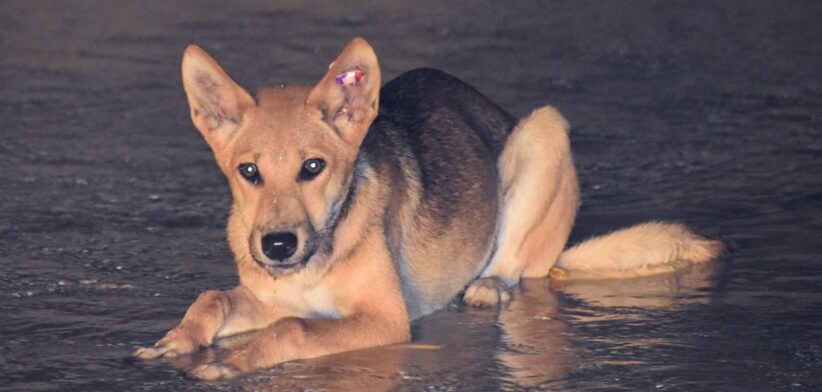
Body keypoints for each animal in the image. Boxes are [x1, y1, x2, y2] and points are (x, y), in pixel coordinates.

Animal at [134, 37, 720, 380]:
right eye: (249, 172)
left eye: (313, 167)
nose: (277, 247)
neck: (324, 246)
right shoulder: (269, 298)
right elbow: (214, 299)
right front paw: (177, 341)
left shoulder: (384, 319)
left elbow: (292, 330)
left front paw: (229, 362)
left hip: (543, 131)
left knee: (517, 266)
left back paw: (489, 285)